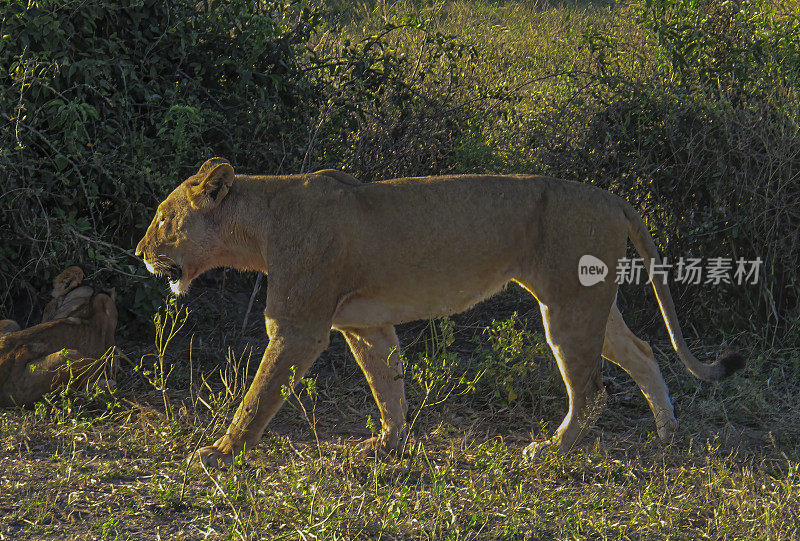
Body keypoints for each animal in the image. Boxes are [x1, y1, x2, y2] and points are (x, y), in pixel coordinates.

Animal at [136, 157, 744, 468]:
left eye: (163, 219)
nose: (139, 252)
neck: (260, 224)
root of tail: (612, 197)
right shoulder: (365, 324)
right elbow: (388, 384)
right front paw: (388, 445)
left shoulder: (299, 328)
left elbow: (259, 396)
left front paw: (220, 452)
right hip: (591, 301)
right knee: (641, 353)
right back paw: (666, 433)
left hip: (568, 307)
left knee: (591, 387)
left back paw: (550, 448)